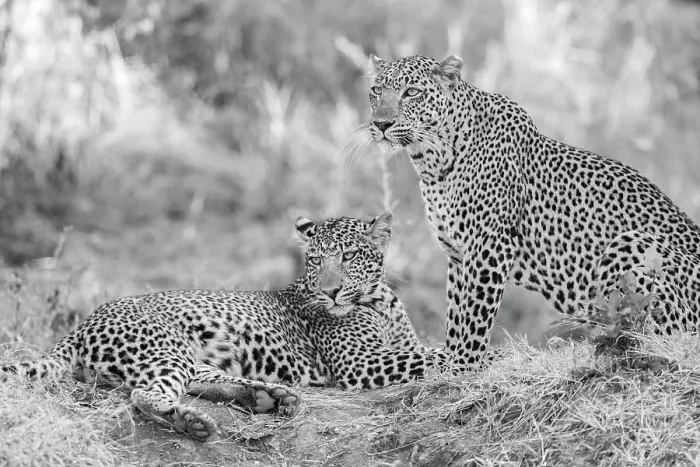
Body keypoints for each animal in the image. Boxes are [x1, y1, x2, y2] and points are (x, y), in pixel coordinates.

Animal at [1, 212, 453, 442]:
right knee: (145, 394)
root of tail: (81, 326)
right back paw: (190, 421)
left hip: (189, 357)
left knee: (200, 380)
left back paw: (269, 396)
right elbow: (431, 355)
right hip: (163, 350)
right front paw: (463, 353)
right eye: (315, 260)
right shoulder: (358, 363)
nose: (331, 291)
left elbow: (421, 351)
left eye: (350, 256)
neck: (379, 299)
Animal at [364, 53, 700, 371]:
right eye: (376, 91)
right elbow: (457, 312)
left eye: (412, 92)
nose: (381, 124)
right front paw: (452, 358)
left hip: (633, 245)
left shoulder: (491, 244)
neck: (432, 161)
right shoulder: (458, 253)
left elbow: (474, 313)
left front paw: (464, 364)